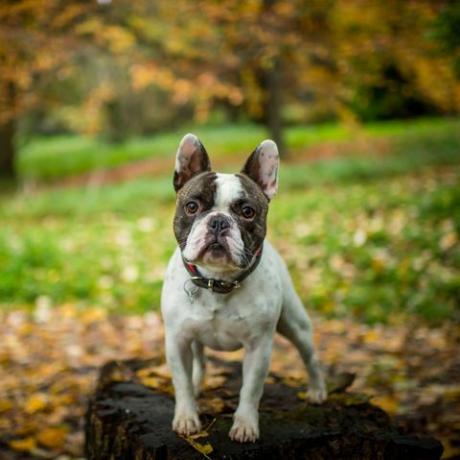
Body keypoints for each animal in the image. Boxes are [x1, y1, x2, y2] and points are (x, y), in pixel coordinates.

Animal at [162, 135, 328, 444]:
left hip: (294, 324)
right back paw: (198, 383)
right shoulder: (177, 340)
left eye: (248, 212)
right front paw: (187, 417)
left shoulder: (258, 347)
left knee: (309, 356)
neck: (217, 282)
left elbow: (251, 390)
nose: (218, 221)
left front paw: (245, 425)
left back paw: (317, 390)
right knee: (200, 359)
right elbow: (181, 383)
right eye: (192, 207)